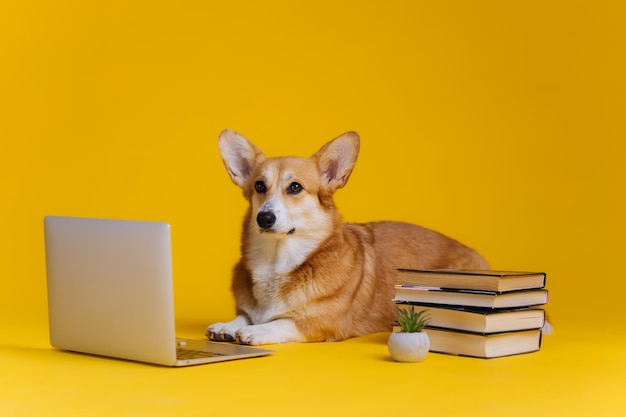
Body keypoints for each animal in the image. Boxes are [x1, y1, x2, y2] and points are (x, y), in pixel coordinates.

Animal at [206, 130, 488, 344]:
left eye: (295, 187)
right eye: (259, 186)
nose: (264, 218)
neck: (277, 262)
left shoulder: (323, 323)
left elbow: (281, 322)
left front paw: (254, 330)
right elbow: (244, 315)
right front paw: (228, 326)